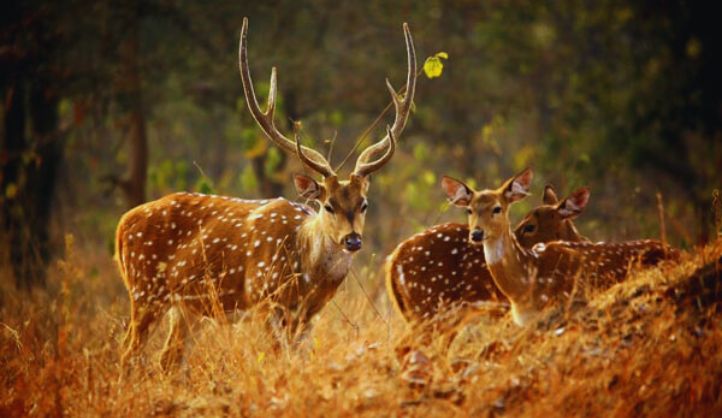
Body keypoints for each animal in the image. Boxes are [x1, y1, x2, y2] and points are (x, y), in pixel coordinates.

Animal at [117, 18, 416, 368]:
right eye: (328, 205)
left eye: (364, 204)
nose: (352, 240)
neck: (307, 277)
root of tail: (122, 224)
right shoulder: (263, 299)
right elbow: (276, 359)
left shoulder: (307, 317)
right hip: (144, 289)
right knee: (129, 352)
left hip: (187, 306)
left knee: (168, 358)